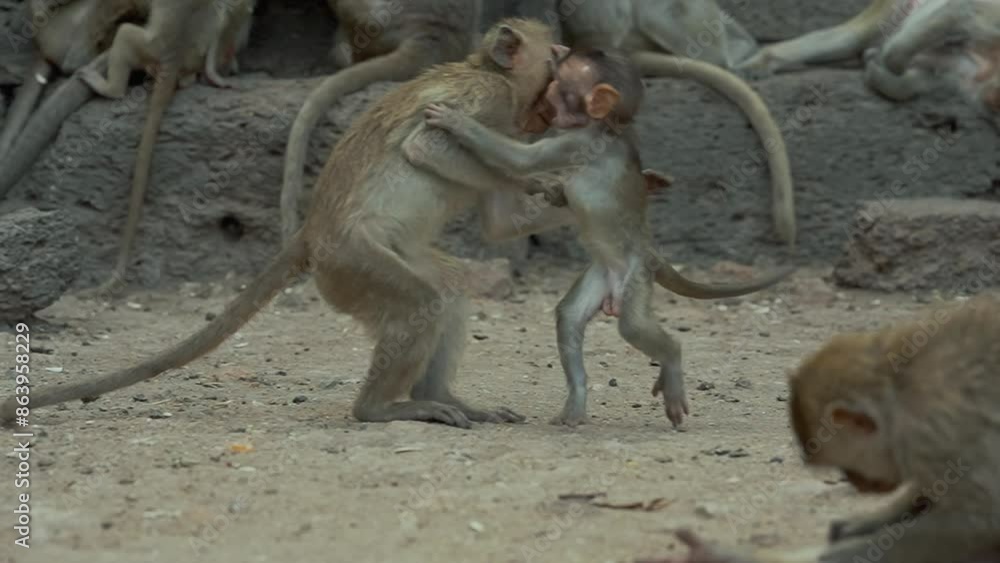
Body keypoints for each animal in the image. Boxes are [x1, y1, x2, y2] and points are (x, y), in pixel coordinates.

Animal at [420, 47, 795, 427]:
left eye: (560, 84)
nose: (553, 64)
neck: (604, 126)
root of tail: (650, 252)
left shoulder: (578, 141)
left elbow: (523, 158)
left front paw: (456, 122)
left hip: (636, 273)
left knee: (633, 325)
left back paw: (672, 361)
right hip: (603, 273)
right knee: (569, 316)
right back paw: (577, 400)